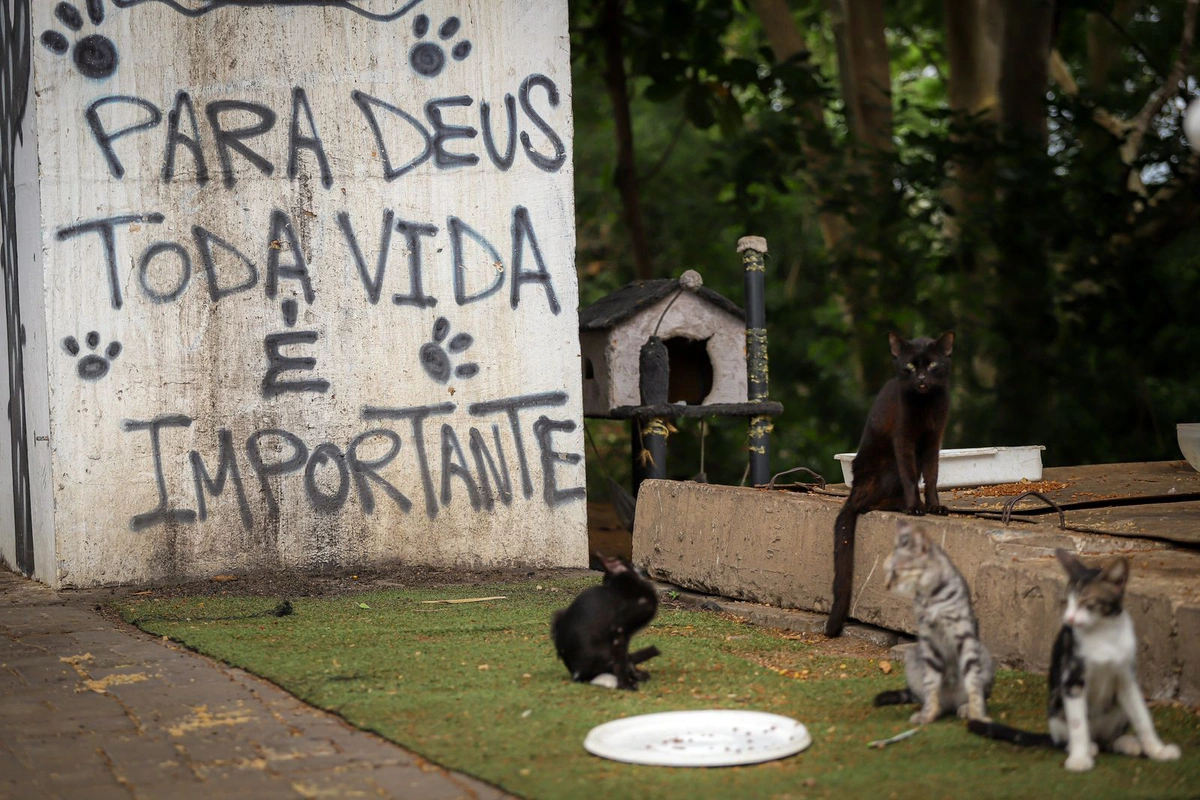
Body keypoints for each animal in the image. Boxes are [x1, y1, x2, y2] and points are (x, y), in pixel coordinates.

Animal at [549, 554, 662, 690]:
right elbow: (622, 662)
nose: (639, 565)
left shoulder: (625, 636)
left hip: (558, 615)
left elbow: (626, 659)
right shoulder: (619, 630)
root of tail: (578, 675)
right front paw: (627, 684)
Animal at [825, 331, 955, 638]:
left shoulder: (934, 440)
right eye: (909, 366)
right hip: (887, 462)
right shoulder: (904, 440)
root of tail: (854, 489)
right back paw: (901, 505)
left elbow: (932, 476)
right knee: (867, 504)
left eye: (932, 365)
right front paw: (916, 507)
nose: (921, 378)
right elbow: (911, 478)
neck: (926, 405)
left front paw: (935, 506)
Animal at [873, 520, 993, 724]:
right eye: (886, 571)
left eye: (895, 571)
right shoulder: (929, 641)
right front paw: (928, 713)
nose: (886, 586)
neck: (932, 596)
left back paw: (965, 708)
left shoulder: (963, 636)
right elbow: (930, 684)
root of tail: (951, 701)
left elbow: (973, 682)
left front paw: (977, 714)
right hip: (913, 656)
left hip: (983, 654)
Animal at [964, 551, 1180, 767]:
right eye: (1067, 602)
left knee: (1109, 740)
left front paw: (1158, 751)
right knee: (1069, 737)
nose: (1069, 619)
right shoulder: (1072, 679)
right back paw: (1086, 747)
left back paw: (1126, 743)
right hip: (1057, 709)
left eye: (1086, 602)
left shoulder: (1127, 679)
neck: (1102, 633)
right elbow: (1077, 724)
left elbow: (1142, 717)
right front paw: (1079, 759)